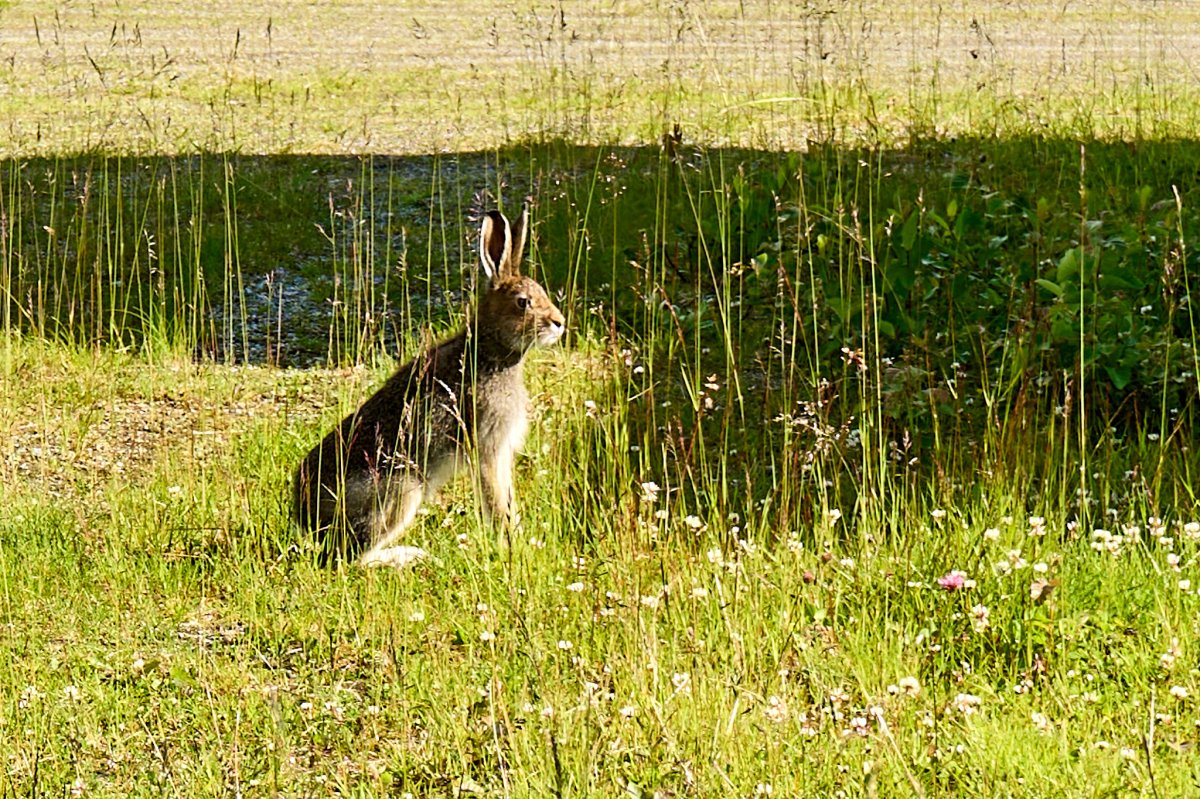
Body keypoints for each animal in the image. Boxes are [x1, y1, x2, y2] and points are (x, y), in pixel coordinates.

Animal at [293, 202, 565, 567]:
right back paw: (407, 557)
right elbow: (496, 502)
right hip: (403, 489)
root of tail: (305, 516)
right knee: (351, 557)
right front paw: (512, 544)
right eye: (523, 302)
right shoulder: (487, 446)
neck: (491, 349)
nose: (559, 323)